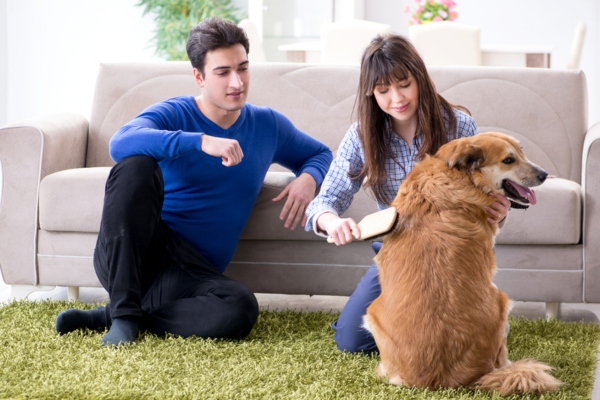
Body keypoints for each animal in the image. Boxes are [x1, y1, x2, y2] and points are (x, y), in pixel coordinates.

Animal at [364, 133, 564, 396]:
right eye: (508, 160)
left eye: (522, 151)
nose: (544, 174)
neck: (460, 177)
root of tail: (442, 378)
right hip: (500, 301)